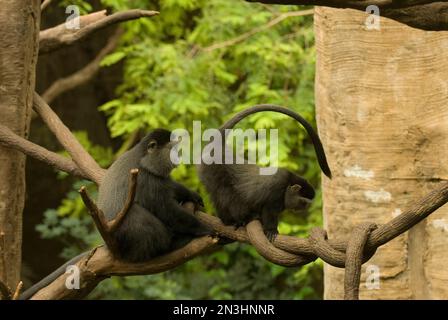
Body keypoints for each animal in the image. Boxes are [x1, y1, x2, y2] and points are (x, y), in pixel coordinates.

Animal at [197, 104, 332, 241]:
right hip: (212, 173)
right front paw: (271, 230)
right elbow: (269, 210)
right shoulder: (277, 189)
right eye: (303, 202)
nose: (303, 209)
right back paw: (232, 220)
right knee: (226, 195)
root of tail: (218, 148)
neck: (288, 184)